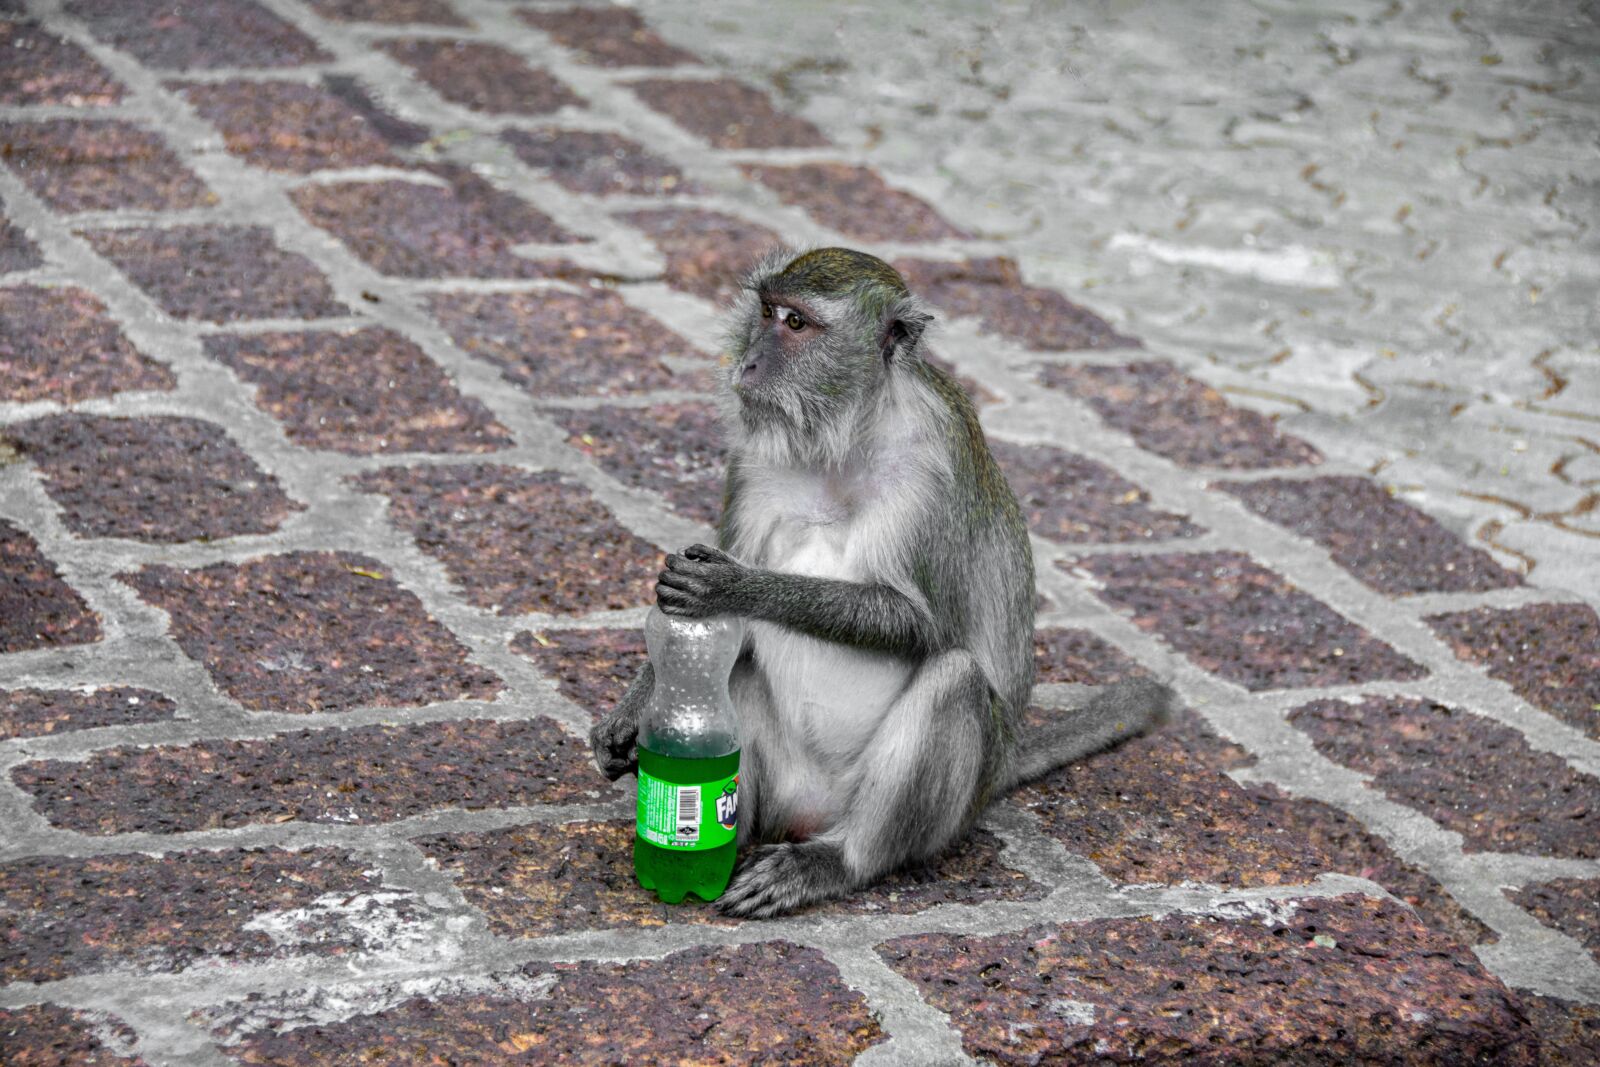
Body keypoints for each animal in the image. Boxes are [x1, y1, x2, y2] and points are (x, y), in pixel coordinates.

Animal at [589, 247, 1174, 918]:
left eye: (797, 323)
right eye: (766, 313)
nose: (750, 363)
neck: (844, 437)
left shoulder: (935, 465)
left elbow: (924, 624)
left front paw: (734, 588)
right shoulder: (750, 458)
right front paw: (631, 712)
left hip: (939, 812)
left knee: (954, 679)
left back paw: (834, 863)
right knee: (736, 670)